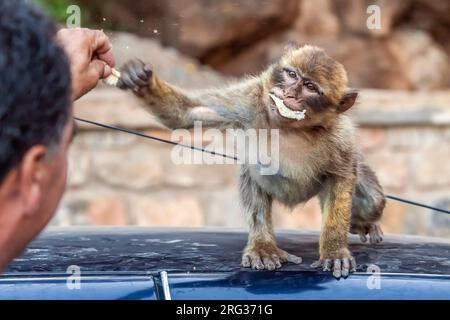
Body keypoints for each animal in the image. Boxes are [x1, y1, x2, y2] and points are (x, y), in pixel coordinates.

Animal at [117, 44, 386, 278]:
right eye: (291, 74)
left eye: (310, 86)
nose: (289, 93)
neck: (290, 128)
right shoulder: (249, 100)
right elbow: (190, 113)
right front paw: (142, 82)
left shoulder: (340, 137)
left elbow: (341, 177)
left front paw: (334, 249)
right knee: (253, 178)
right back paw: (263, 245)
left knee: (374, 202)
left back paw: (361, 224)